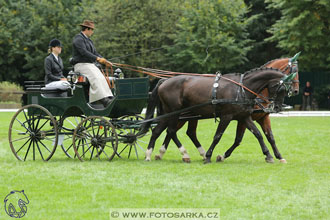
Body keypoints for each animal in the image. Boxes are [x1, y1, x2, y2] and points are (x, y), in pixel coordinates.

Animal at [151, 53, 300, 163]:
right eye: (281, 88)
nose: (277, 107)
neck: (243, 89)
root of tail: (164, 81)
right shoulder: (228, 116)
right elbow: (220, 136)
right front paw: (213, 156)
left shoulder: (248, 116)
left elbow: (262, 135)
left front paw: (273, 156)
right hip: (176, 114)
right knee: (170, 131)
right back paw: (180, 154)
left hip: (181, 115)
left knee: (167, 131)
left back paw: (157, 153)